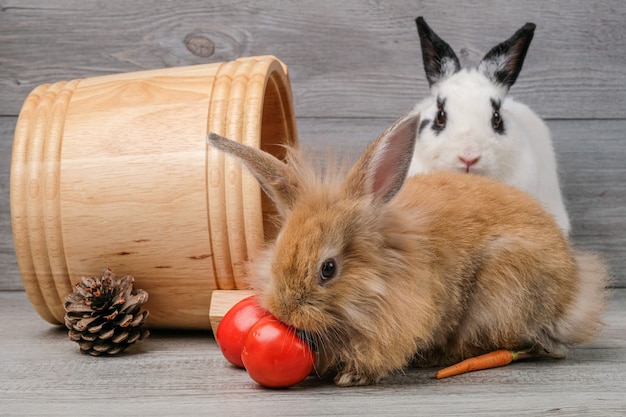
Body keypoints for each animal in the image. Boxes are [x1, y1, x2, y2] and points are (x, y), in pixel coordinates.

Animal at [207, 111, 608, 386]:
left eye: (328, 269)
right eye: (276, 256)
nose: (285, 311)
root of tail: (574, 294)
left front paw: (352, 377)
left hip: (504, 289)